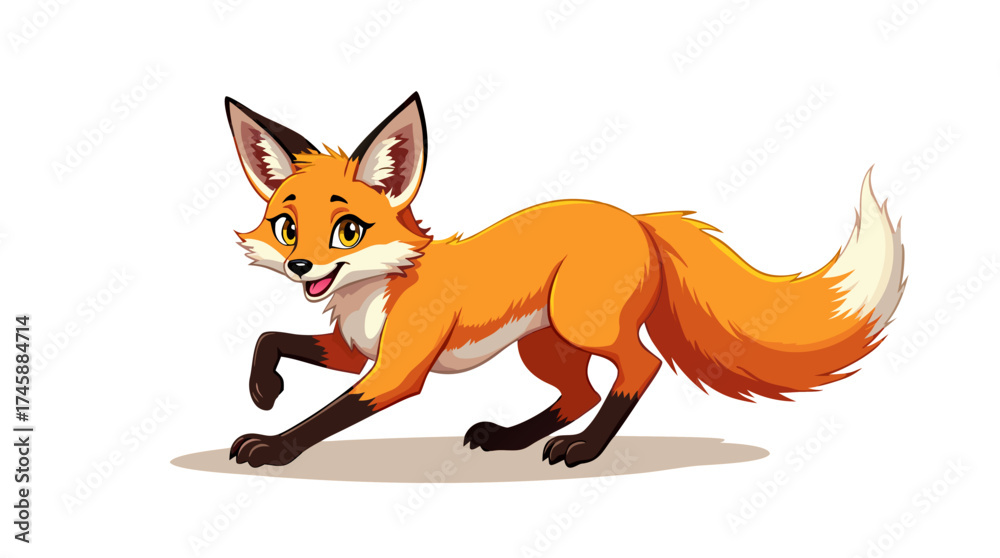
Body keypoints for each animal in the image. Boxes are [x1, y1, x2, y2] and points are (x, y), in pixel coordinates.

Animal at [225, 92, 905, 468]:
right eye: (287, 227)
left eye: (348, 230)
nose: (301, 268)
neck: (376, 291)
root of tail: (636, 219)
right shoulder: (354, 350)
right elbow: (270, 340)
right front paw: (264, 389)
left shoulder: (396, 369)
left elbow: (328, 415)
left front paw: (272, 445)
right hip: (545, 344)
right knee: (579, 392)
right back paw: (511, 439)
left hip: (584, 326)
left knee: (639, 368)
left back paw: (584, 449)